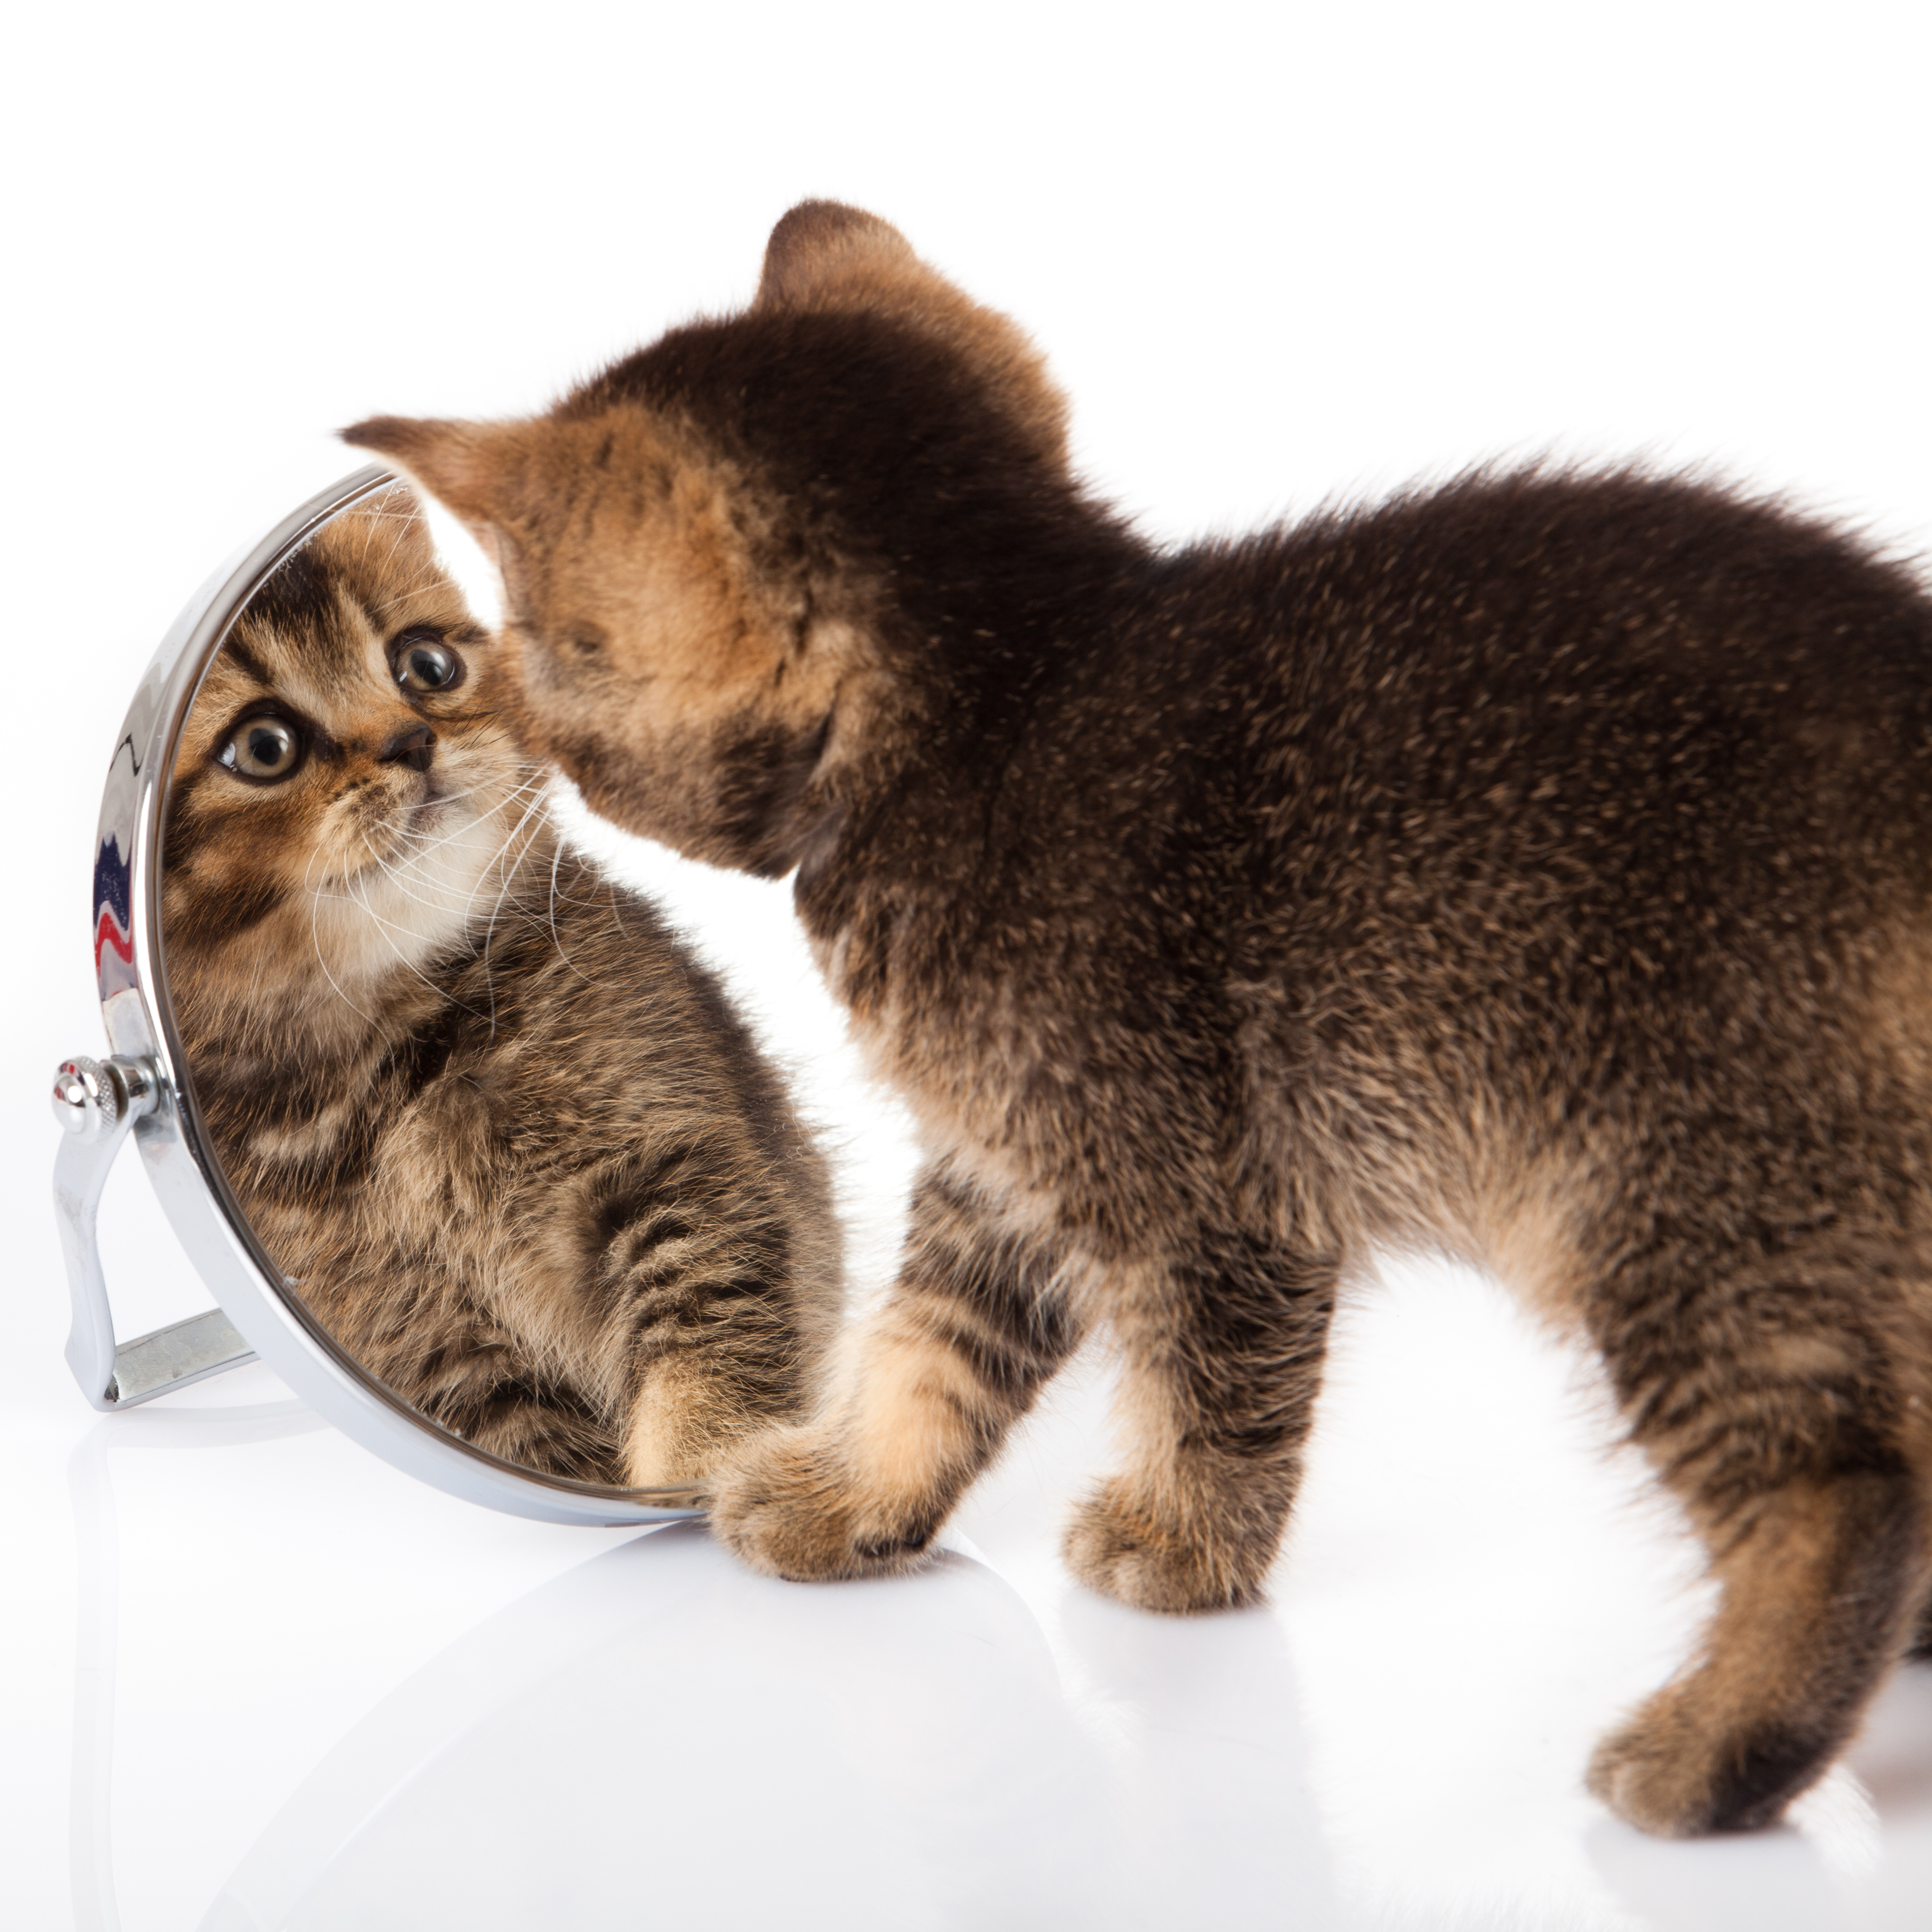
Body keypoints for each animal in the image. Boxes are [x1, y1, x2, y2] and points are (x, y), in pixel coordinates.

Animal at [170, 490, 850, 1484]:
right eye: (264, 746)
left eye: (427, 663)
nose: (412, 739)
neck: (395, 1068)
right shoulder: (440, 1347)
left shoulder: (678, 1165)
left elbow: (710, 1347)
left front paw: (706, 1465)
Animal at [340, 203, 1932, 1831]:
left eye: (516, 635)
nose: (489, 716)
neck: (1002, 699)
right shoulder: (1001, 1167)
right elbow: (930, 1349)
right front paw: (854, 1502)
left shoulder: (1204, 1183)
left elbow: (1210, 1386)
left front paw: (1181, 1546)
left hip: (1680, 1189)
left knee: (1842, 1487)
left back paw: (1716, 1749)